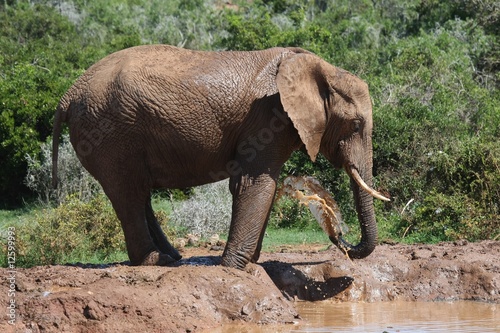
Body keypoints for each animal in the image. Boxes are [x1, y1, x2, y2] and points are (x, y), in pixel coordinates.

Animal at [53, 44, 390, 268]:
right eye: (356, 125)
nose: (340, 239)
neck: (319, 67)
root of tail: (67, 94)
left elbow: (264, 186)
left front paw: (250, 262)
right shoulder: (267, 118)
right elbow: (254, 184)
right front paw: (233, 267)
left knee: (138, 191)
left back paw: (173, 257)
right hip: (108, 130)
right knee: (129, 193)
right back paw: (155, 260)